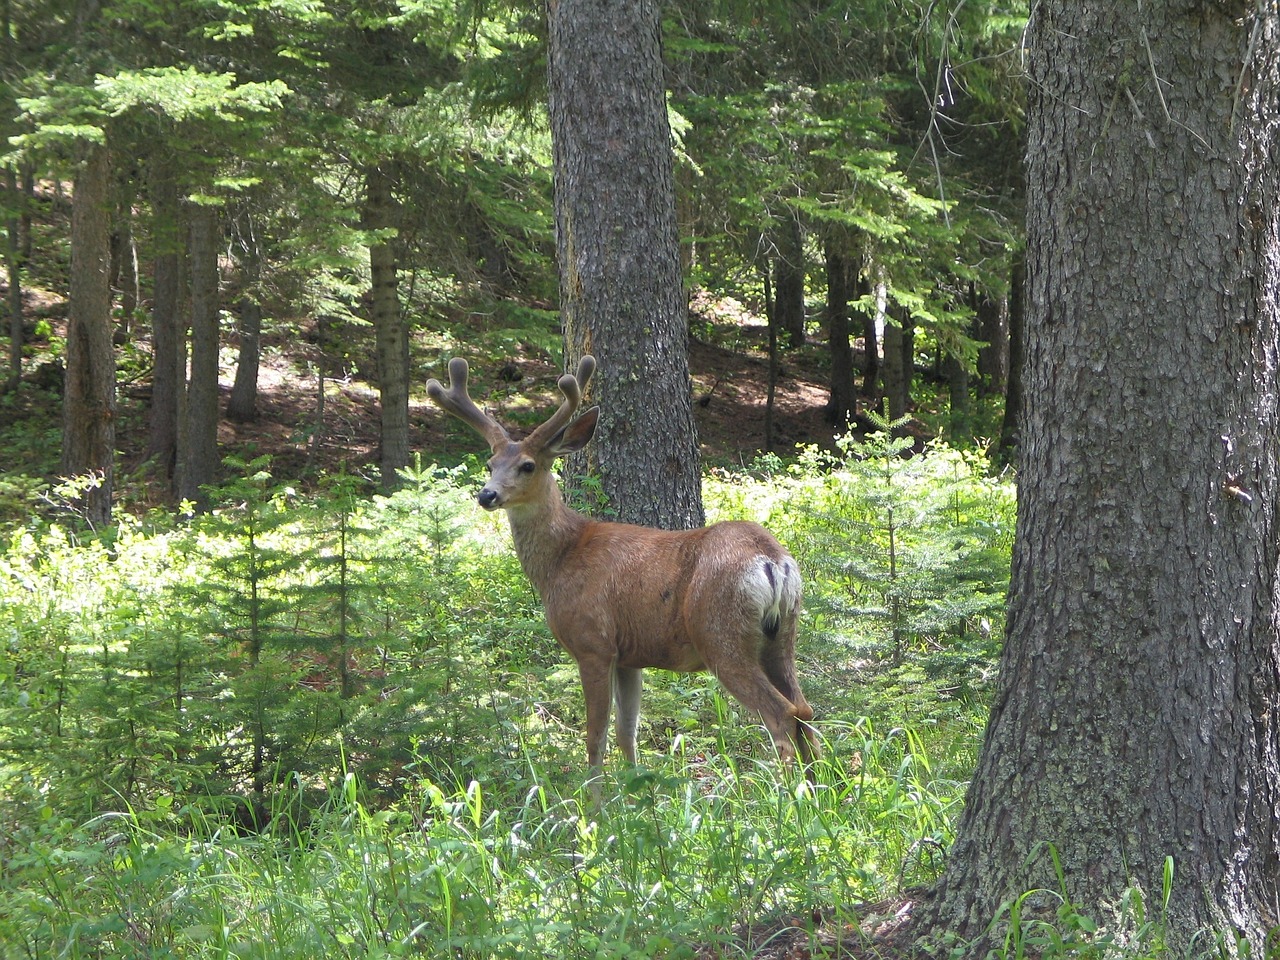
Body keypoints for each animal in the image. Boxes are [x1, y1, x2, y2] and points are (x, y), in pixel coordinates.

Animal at [424, 358, 814, 778]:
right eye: (491, 462)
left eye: (527, 465)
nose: (487, 494)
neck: (560, 559)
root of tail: (773, 560)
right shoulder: (630, 656)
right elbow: (628, 733)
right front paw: (636, 788)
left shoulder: (593, 643)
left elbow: (596, 737)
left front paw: (594, 796)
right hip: (781, 635)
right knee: (805, 710)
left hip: (720, 633)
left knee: (781, 713)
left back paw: (786, 792)